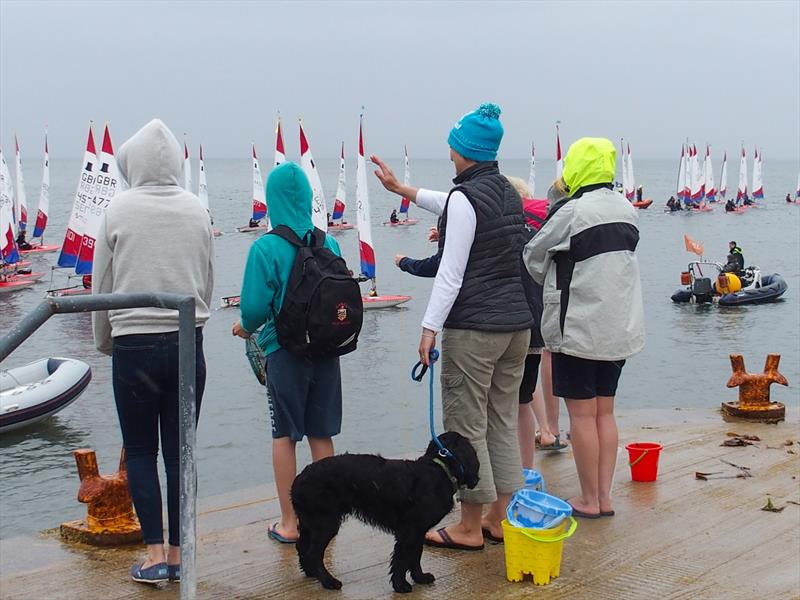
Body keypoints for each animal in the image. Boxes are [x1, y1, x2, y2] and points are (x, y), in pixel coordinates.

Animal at [294, 434, 482, 592]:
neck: (440, 470)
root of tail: (298, 480)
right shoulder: (409, 532)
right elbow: (402, 559)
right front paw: (401, 585)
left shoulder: (418, 532)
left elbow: (416, 555)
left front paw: (420, 577)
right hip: (325, 524)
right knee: (313, 553)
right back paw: (329, 581)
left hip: (309, 523)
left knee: (302, 547)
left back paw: (312, 573)